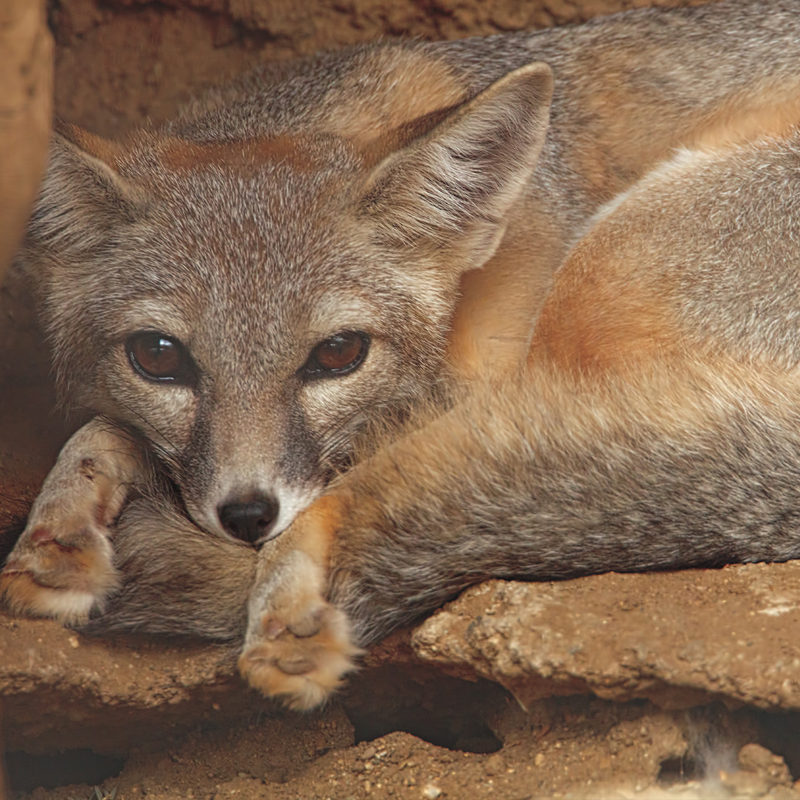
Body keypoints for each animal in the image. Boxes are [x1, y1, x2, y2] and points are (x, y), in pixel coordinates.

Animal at [5, 0, 800, 709]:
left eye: (338, 353)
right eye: (159, 357)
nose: (248, 514)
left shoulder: (493, 379)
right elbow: (107, 424)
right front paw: (61, 527)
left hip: (591, 298)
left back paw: (288, 618)